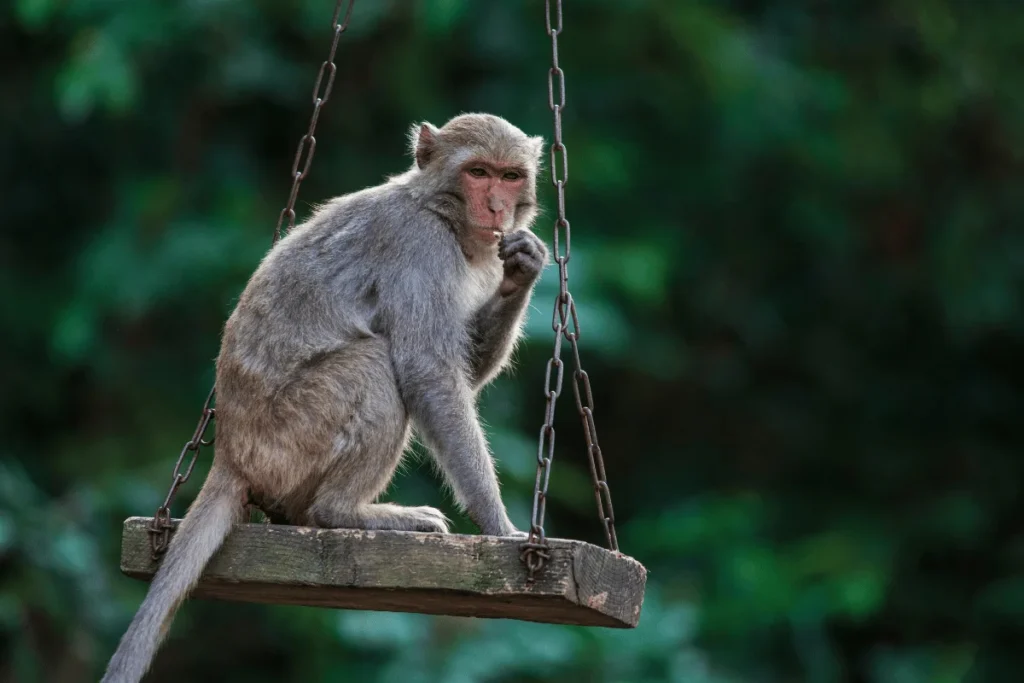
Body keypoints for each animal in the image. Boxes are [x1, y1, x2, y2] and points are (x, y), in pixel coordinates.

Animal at [101, 114, 552, 679]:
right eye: (478, 172)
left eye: (511, 175)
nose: (495, 207)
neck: (439, 211)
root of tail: (229, 451)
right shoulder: (418, 247)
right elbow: (428, 374)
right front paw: (500, 527)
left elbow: (461, 371)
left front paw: (524, 270)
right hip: (288, 439)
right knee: (375, 367)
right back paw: (344, 513)